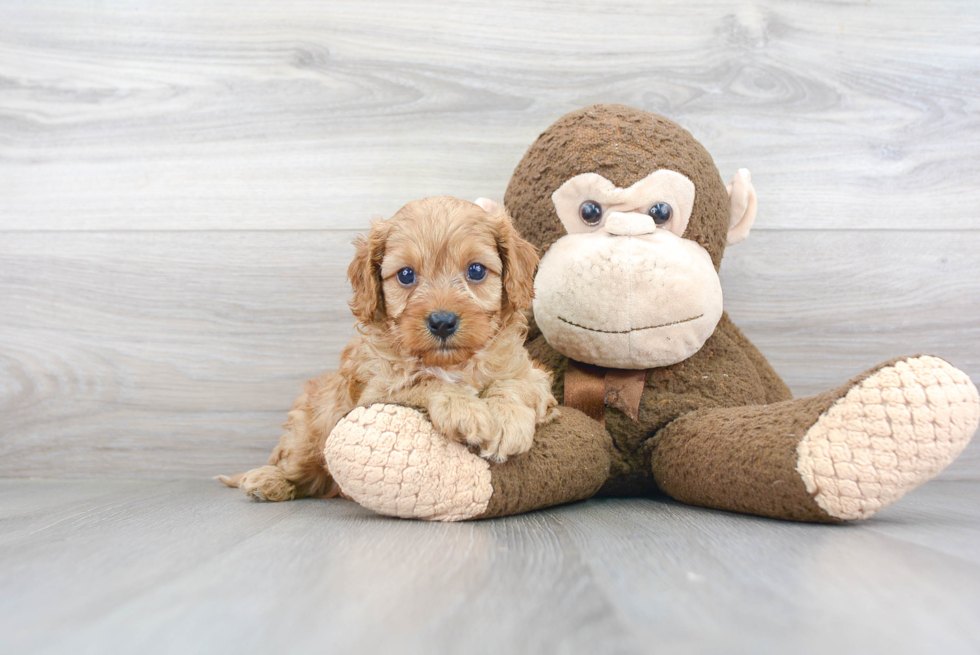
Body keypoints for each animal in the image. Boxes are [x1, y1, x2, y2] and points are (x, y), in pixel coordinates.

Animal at [221, 195, 560, 502]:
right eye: (406, 275)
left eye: (476, 271)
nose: (442, 322)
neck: (454, 364)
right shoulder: (374, 394)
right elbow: (423, 380)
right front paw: (463, 409)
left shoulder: (532, 374)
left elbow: (514, 384)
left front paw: (506, 419)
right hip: (309, 432)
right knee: (294, 464)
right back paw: (267, 480)